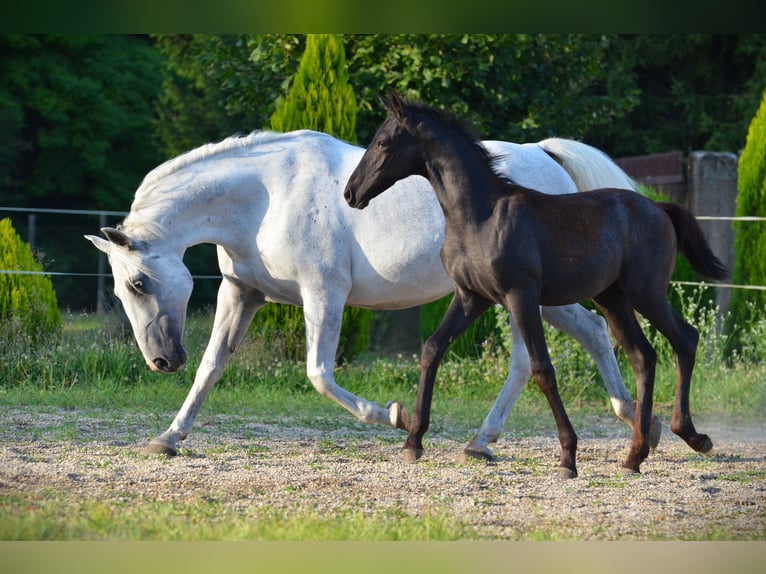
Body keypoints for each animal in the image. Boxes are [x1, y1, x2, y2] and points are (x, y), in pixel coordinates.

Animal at [85, 129, 660, 460]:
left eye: (138, 283)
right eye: (123, 290)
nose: (161, 361)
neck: (267, 195)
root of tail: (544, 156)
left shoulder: (324, 294)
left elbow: (319, 374)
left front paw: (394, 417)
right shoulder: (242, 293)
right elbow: (211, 367)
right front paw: (169, 437)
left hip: (528, 295)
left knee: (545, 352)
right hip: (541, 298)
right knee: (590, 333)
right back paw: (630, 423)